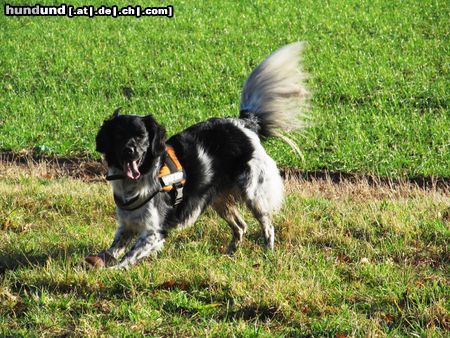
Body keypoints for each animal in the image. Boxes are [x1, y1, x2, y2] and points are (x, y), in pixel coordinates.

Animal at [91, 43, 310, 270]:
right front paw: (99, 262)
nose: (130, 150)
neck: (137, 181)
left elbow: (130, 256)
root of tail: (244, 123)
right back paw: (229, 255)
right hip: (219, 200)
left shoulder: (154, 232)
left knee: (267, 227)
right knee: (241, 226)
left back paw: (268, 253)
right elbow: (112, 249)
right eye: (118, 136)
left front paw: (114, 270)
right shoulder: (126, 225)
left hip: (253, 194)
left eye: (141, 136)